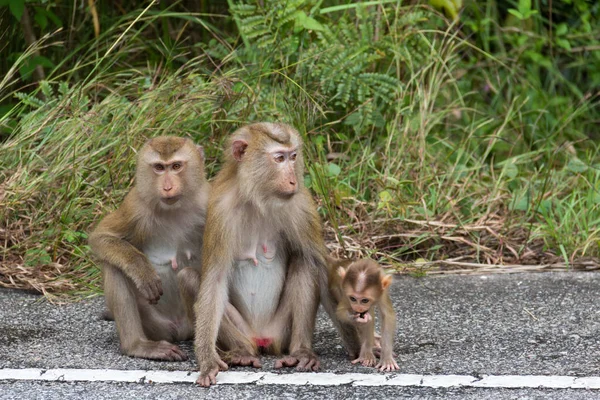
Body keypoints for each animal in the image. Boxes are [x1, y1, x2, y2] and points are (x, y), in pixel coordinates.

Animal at [88, 136, 210, 360]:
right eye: (159, 168)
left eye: (176, 166)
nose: (168, 187)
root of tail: (179, 330)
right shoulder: (135, 206)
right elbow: (102, 237)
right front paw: (141, 270)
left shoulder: (209, 201)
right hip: (156, 326)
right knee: (113, 265)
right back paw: (137, 345)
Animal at [192, 122, 360, 388]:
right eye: (279, 158)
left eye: (293, 156)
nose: (292, 180)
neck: (258, 199)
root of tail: (262, 339)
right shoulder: (220, 210)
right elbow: (215, 280)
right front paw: (207, 360)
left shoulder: (301, 206)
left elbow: (321, 267)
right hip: (246, 332)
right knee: (189, 277)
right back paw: (241, 353)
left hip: (281, 331)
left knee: (305, 263)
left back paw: (301, 352)